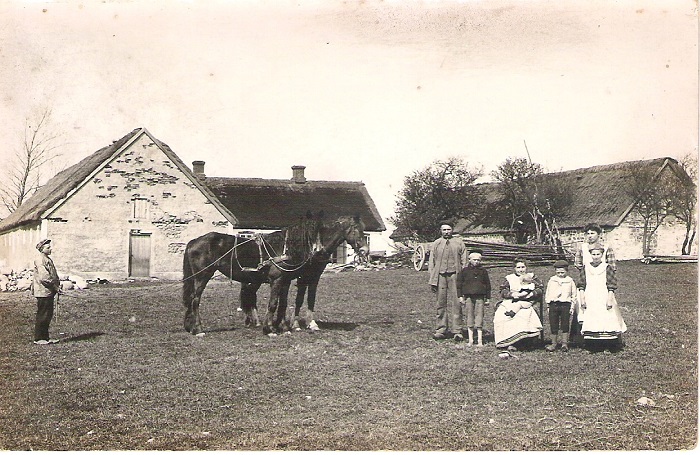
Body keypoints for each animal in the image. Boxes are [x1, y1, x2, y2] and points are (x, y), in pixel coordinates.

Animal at [180, 214, 366, 334]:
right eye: (357, 229)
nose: (364, 250)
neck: (286, 248)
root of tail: (194, 241)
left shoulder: (287, 280)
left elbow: (283, 304)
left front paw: (283, 327)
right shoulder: (279, 280)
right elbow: (274, 304)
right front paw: (270, 329)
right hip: (203, 276)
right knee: (195, 300)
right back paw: (198, 329)